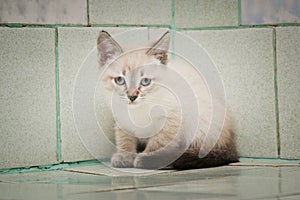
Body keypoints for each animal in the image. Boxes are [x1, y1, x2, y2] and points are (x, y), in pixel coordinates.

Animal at [97, 30, 238, 170]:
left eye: (145, 81)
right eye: (119, 80)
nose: (132, 97)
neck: (139, 110)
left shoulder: (171, 119)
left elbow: (158, 142)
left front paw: (147, 157)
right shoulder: (122, 119)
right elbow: (124, 139)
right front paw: (124, 156)